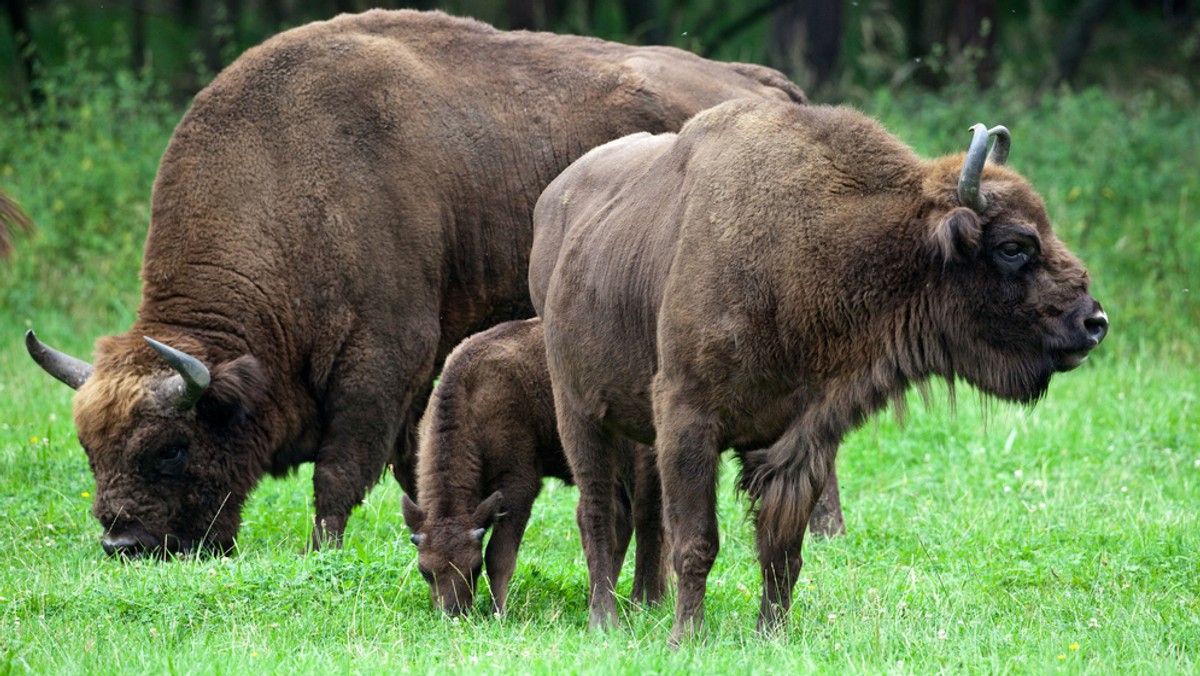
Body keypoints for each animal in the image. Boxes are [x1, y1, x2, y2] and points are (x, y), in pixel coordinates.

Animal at [23, 9, 806, 561]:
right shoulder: (418, 380)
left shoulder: (382, 361)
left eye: (172, 448)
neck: (291, 177)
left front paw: (321, 557)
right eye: (90, 450)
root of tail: (765, 85)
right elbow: (411, 461)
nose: (124, 544)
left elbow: (339, 473)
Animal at [403, 319, 667, 614]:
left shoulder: (518, 483)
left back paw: (645, 602)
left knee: (648, 518)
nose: (453, 612)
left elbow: (499, 554)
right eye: (425, 571)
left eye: (474, 567)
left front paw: (498, 612)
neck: (471, 394)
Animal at [530, 99, 1108, 638]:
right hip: (578, 410)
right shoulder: (687, 420)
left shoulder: (802, 438)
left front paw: (771, 634)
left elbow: (782, 550)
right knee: (597, 511)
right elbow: (698, 542)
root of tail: (552, 201)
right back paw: (604, 620)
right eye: (1013, 246)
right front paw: (685, 639)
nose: (1093, 322)